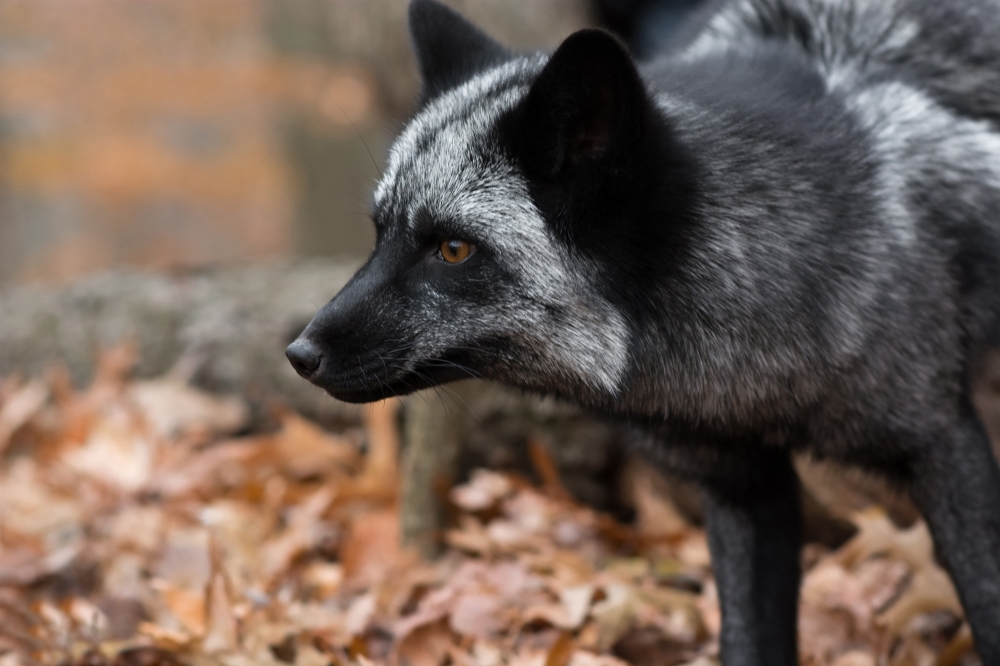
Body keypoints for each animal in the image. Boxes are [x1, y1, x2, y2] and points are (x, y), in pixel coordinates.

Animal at [288, 2, 1000, 660]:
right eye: (380, 234)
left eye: (453, 250)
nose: (299, 354)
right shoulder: (744, 489)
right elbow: (750, 640)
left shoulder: (941, 443)